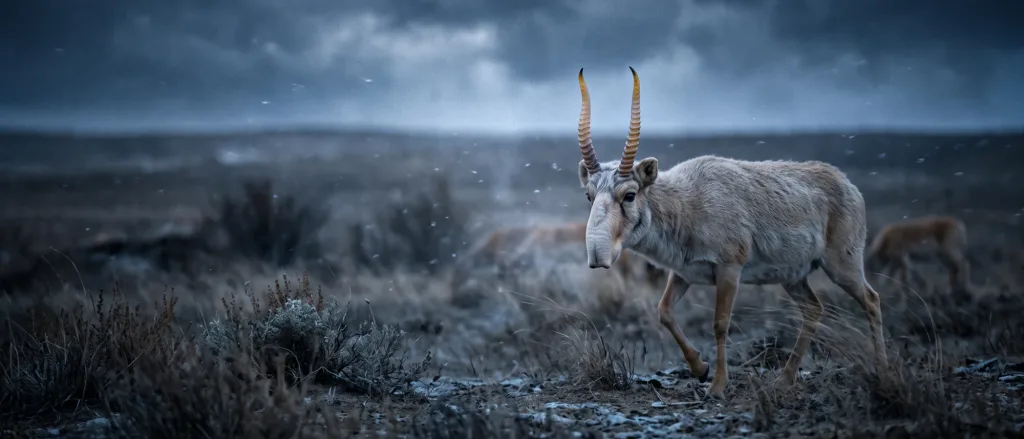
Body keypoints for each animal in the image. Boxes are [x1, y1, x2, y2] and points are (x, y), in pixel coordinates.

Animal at [572, 67, 887, 399]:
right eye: (589, 195)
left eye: (629, 195)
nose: (597, 255)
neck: (685, 202)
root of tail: (849, 185)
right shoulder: (683, 273)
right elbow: (664, 311)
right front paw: (700, 368)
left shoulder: (729, 269)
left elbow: (720, 323)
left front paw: (718, 385)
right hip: (794, 277)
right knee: (814, 309)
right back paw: (784, 379)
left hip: (842, 266)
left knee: (871, 299)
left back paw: (884, 372)